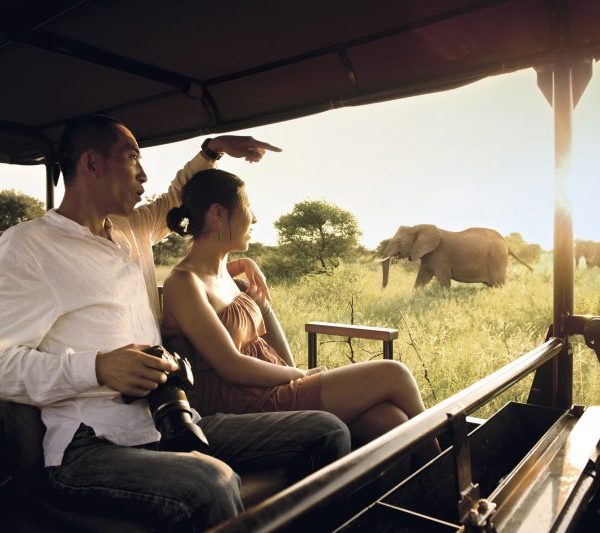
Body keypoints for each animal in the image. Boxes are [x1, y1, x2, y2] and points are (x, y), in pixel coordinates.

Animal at [382, 223, 532, 288]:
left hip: (497, 258)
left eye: (400, 242)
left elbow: (444, 280)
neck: (417, 227)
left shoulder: (440, 255)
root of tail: (506, 243)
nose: (384, 288)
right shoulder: (428, 256)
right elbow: (421, 279)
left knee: (498, 285)